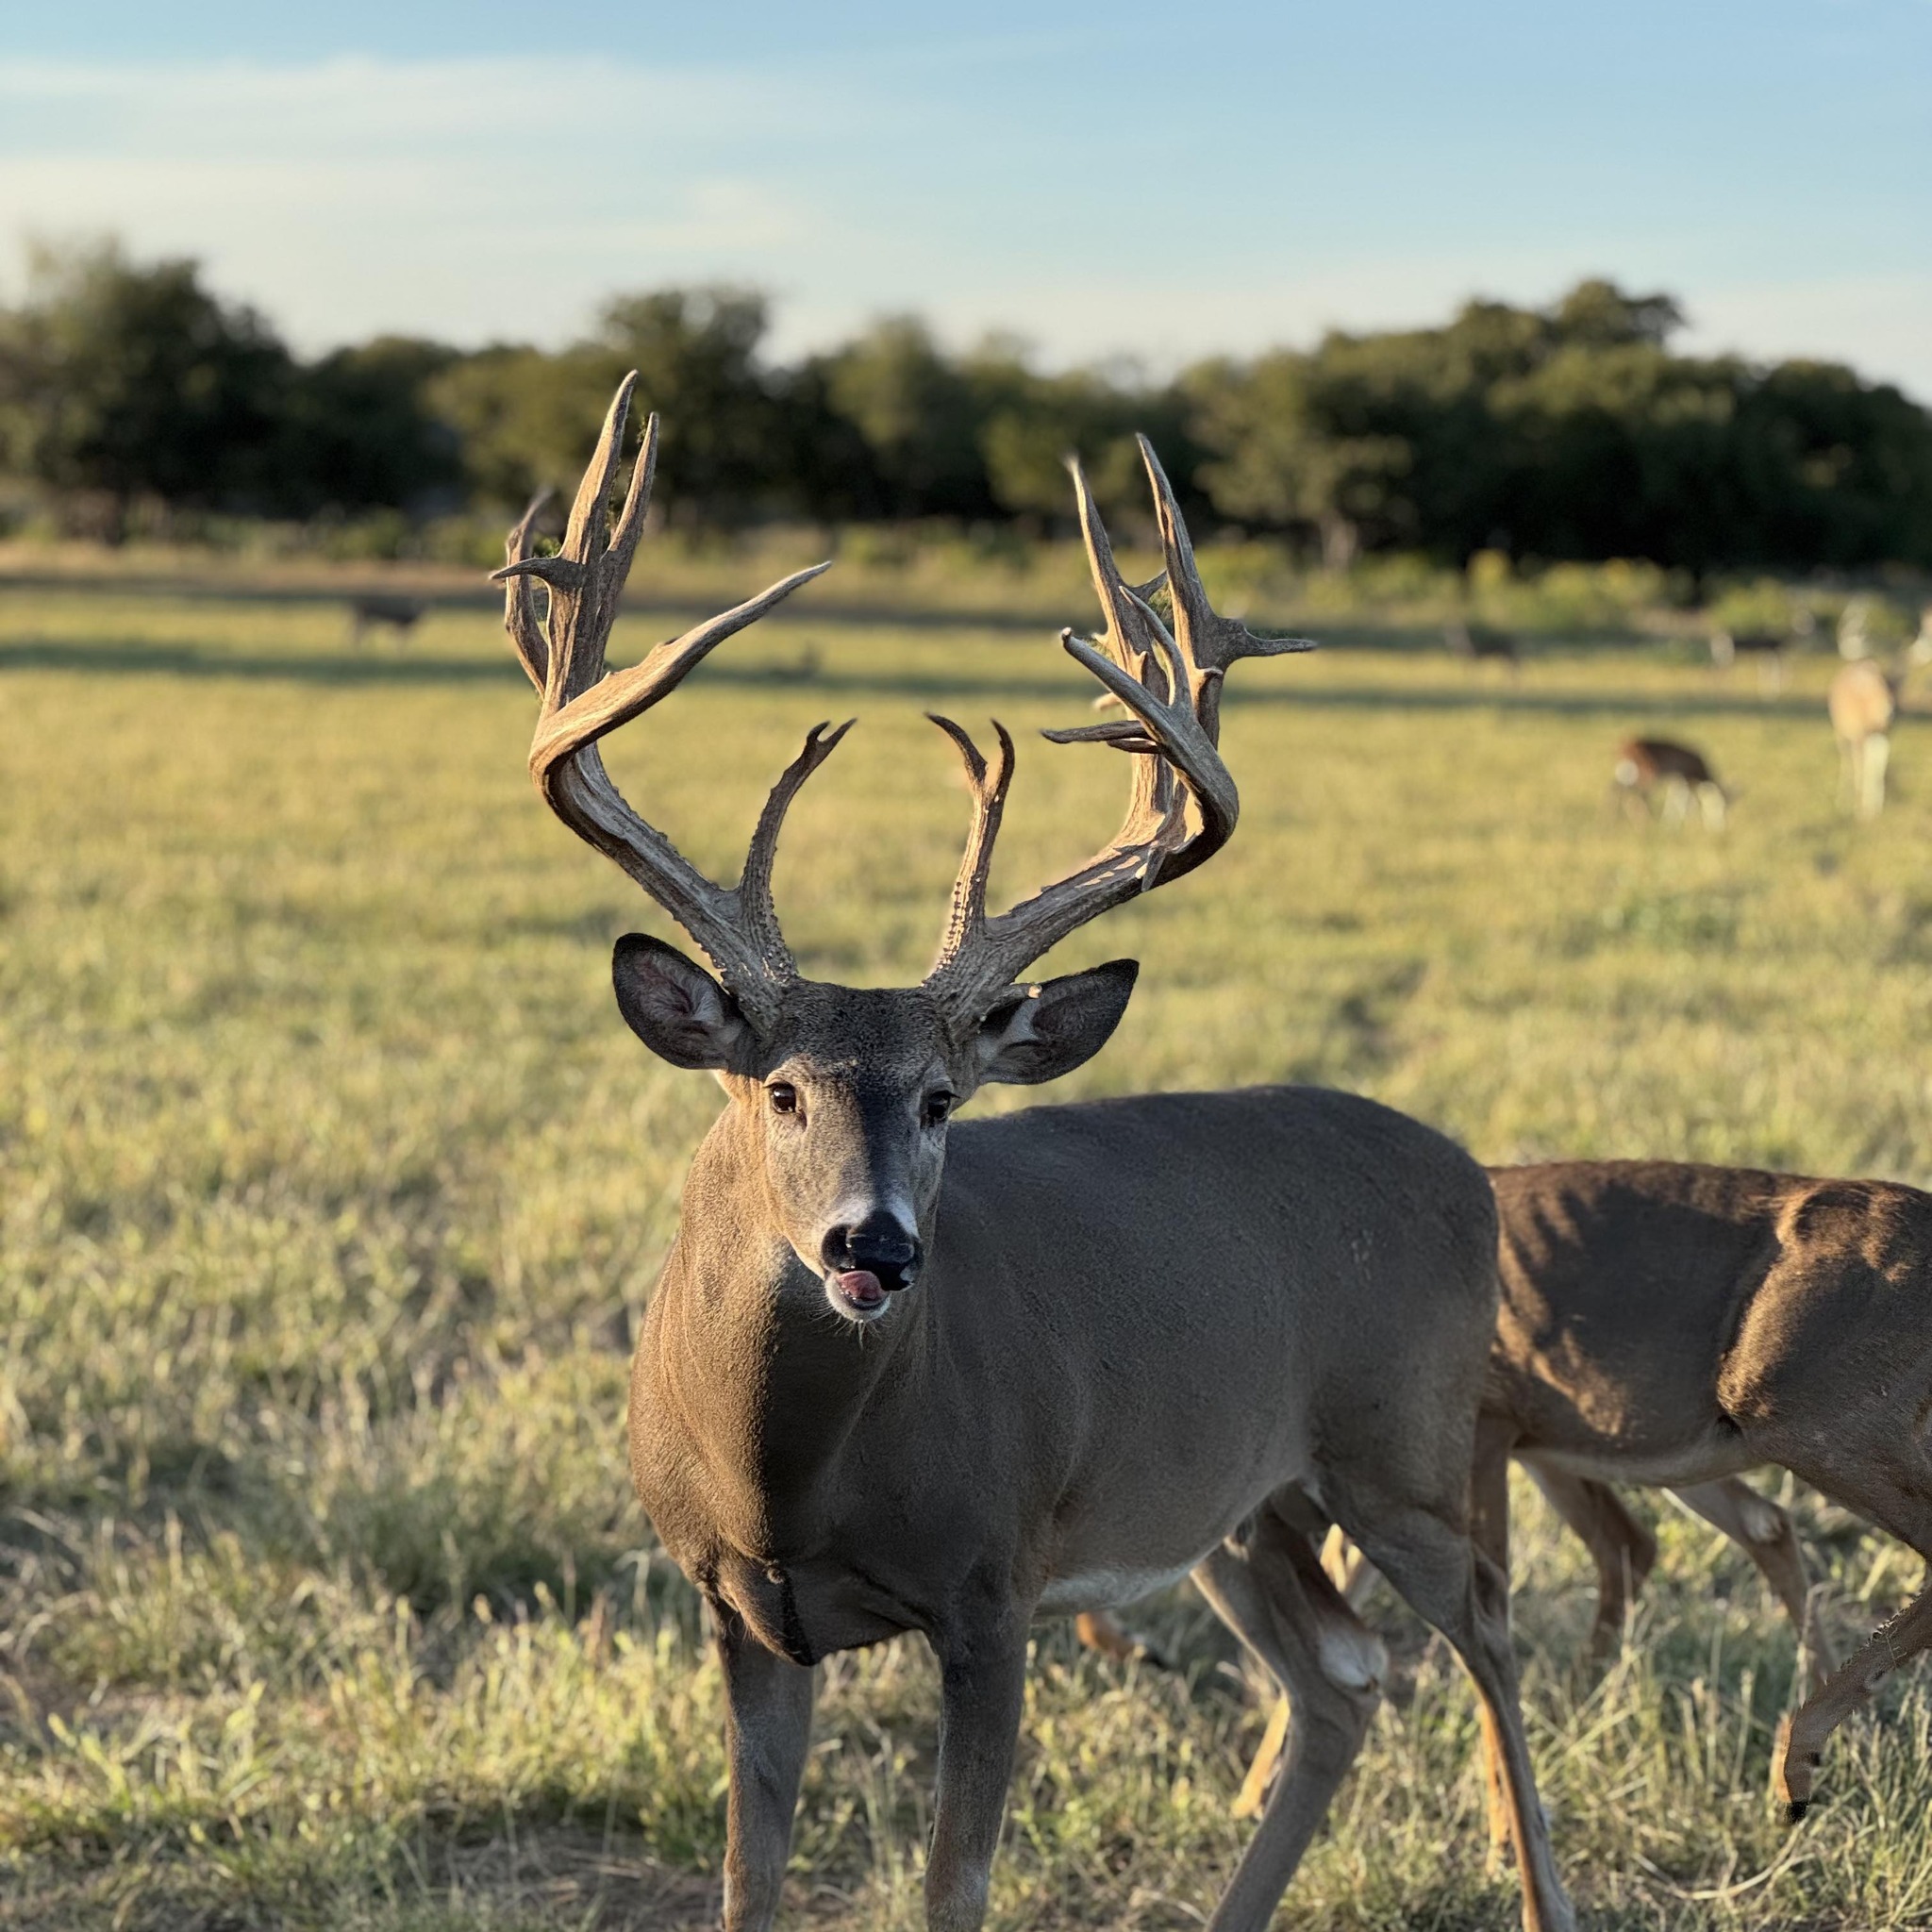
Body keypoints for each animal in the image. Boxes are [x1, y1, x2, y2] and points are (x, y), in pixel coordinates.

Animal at [491, 373, 1577, 1932]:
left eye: (946, 1100)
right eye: (779, 1092)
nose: (874, 1245)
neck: (789, 1483)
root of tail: (1471, 1175)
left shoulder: (992, 1585)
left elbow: (957, 1884)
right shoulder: (734, 1607)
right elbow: (750, 1881)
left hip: (1403, 1443)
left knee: (1485, 1635)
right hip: (1240, 1502)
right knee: (1345, 1673)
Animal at [1829, 657, 1900, 819]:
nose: (1891, 712)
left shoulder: (1861, 735)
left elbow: (1865, 766)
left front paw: (1863, 810)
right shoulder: (1868, 734)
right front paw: (1867, 810)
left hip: (1858, 736)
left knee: (1861, 762)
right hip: (1867, 736)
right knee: (1868, 761)